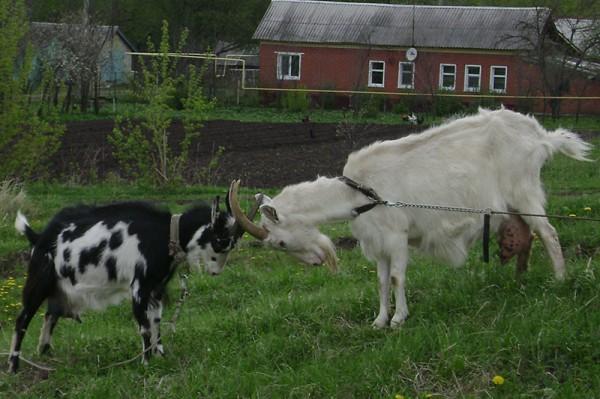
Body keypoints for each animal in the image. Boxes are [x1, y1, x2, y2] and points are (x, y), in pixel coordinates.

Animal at [8, 198, 246, 374]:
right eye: (221, 240)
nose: (216, 272)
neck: (163, 234)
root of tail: (39, 236)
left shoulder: (155, 288)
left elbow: (156, 322)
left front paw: (161, 356)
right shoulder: (139, 286)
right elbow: (144, 326)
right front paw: (146, 364)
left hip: (59, 288)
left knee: (50, 314)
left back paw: (45, 352)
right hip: (39, 280)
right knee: (22, 319)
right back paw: (13, 366)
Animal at [229, 108, 592, 328]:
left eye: (279, 241)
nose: (318, 263)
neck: (359, 194)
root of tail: (541, 137)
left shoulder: (397, 236)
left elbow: (396, 278)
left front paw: (398, 320)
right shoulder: (378, 243)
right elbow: (380, 281)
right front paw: (378, 321)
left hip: (525, 192)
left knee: (548, 232)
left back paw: (559, 280)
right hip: (515, 205)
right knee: (526, 235)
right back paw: (519, 280)